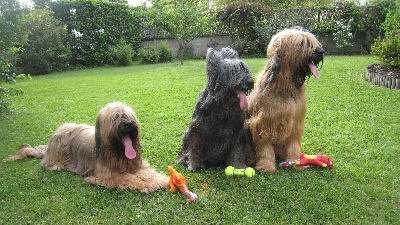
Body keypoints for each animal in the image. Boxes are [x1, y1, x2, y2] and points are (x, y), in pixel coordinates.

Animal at [9, 102, 169, 193]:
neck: (118, 153)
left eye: (130, 116)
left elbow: (147, 173)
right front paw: (149, 184)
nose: (130, 124)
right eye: (116, 117)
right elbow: (129, 179)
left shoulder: (137, 165)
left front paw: (162, 179)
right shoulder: (108, 176)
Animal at [244, 29, 324, 171]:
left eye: (312, 41)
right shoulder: (264, 122)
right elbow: (265, 147)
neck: (285, 87)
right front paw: (266, 166)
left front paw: (296, 162)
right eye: (302, 43)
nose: (321, 51)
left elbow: (293, 145)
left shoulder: (296, 122)